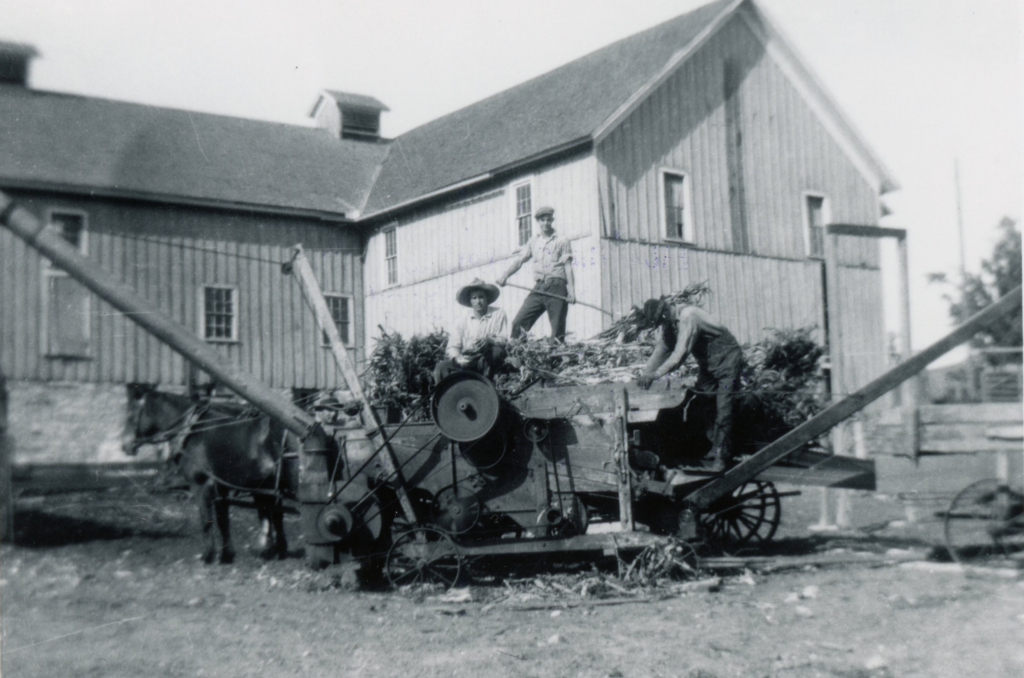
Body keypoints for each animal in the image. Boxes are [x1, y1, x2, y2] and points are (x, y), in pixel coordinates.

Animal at [121, 385, 299, 565]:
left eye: (131, 415)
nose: (125, 446)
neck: (192, 431)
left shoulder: (201, 485)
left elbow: (206, 520)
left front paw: (208, 555)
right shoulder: (222, 487)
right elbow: (223, 520)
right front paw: (227, 554)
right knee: (276, 515)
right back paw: (277, 550)